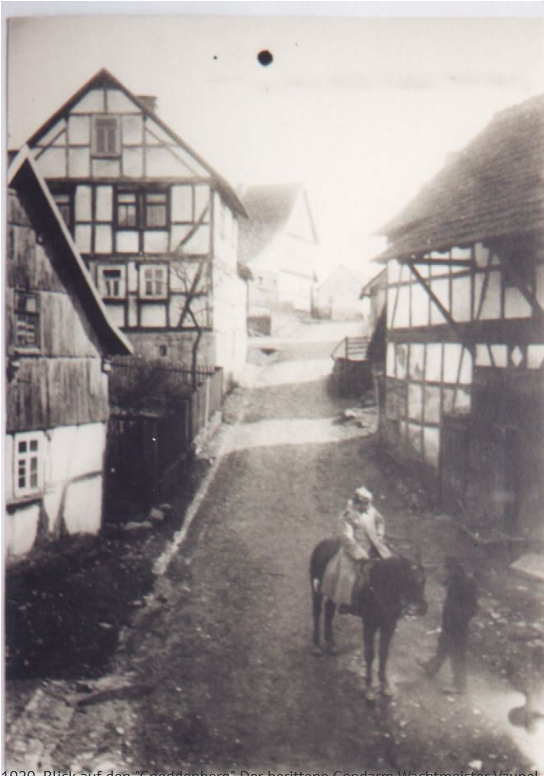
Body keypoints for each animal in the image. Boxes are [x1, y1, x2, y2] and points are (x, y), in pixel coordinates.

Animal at [308, 544, 428, 700]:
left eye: (424, 580)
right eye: (410, 580)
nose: (422, 608)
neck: (381, 587)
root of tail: (322, 544)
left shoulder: (389, 626)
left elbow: (384, 653)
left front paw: (385, 684)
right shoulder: (369, 625)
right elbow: (370, 654)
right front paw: (369, 687)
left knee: (329, 610)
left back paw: (331, 643)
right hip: (316, 591)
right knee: (317, 612)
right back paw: (316, 645)